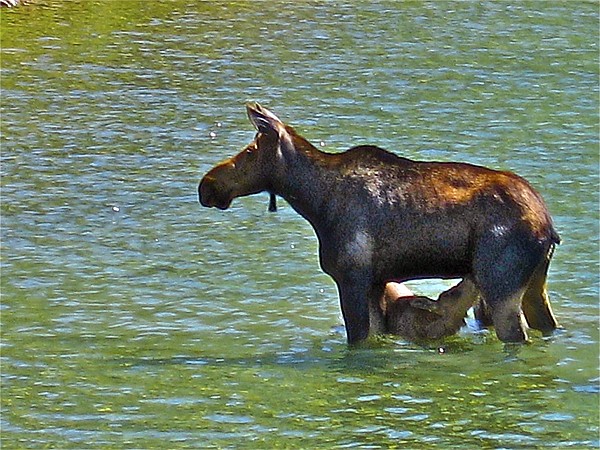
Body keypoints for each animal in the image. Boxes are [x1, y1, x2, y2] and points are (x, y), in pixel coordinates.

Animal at [199, 103, 560, 346]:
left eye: (249, 151)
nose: (207, 185)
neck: (315, 203)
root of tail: (548, 227)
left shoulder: (352, 276)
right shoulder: (375, 282)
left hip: (500, 284)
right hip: (534, 283)